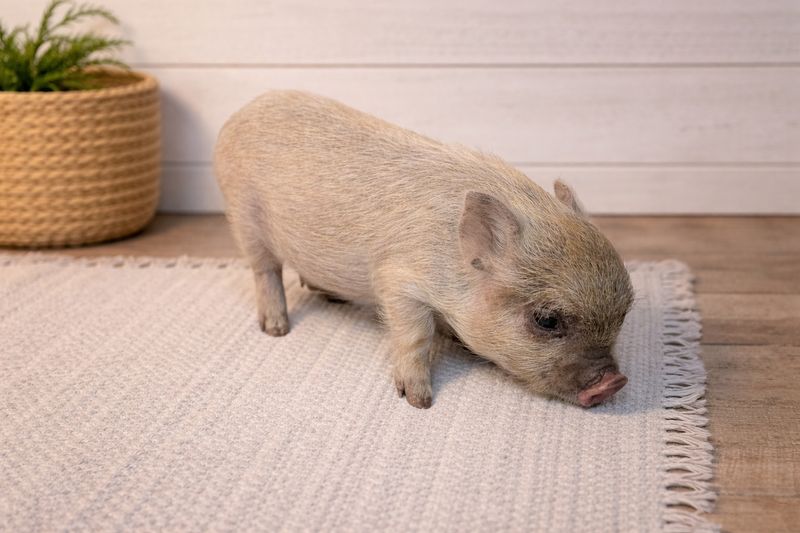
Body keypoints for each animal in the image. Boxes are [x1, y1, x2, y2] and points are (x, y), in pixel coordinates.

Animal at [214, 90, 634, 409]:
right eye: (546, 320)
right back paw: (277, 330)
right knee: (264, 270)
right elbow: (415, 336)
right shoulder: (397, 281)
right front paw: (419, 402)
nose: (614, 383)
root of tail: (237, 115)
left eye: (625, 314)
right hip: (243, 216)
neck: (454, 261)